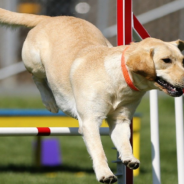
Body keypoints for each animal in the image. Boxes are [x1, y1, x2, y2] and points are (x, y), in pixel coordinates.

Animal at [0, 8, 184, 184]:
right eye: (166, 60)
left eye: (182, 60)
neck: (119, 80)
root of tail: (51, 18)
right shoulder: (90, 121)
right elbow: (99, 151)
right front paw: (105, 174)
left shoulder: (120, 119)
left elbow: (125, 143)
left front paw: (129, 158)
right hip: (35, 62)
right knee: (37, 78)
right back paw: (50, 101)